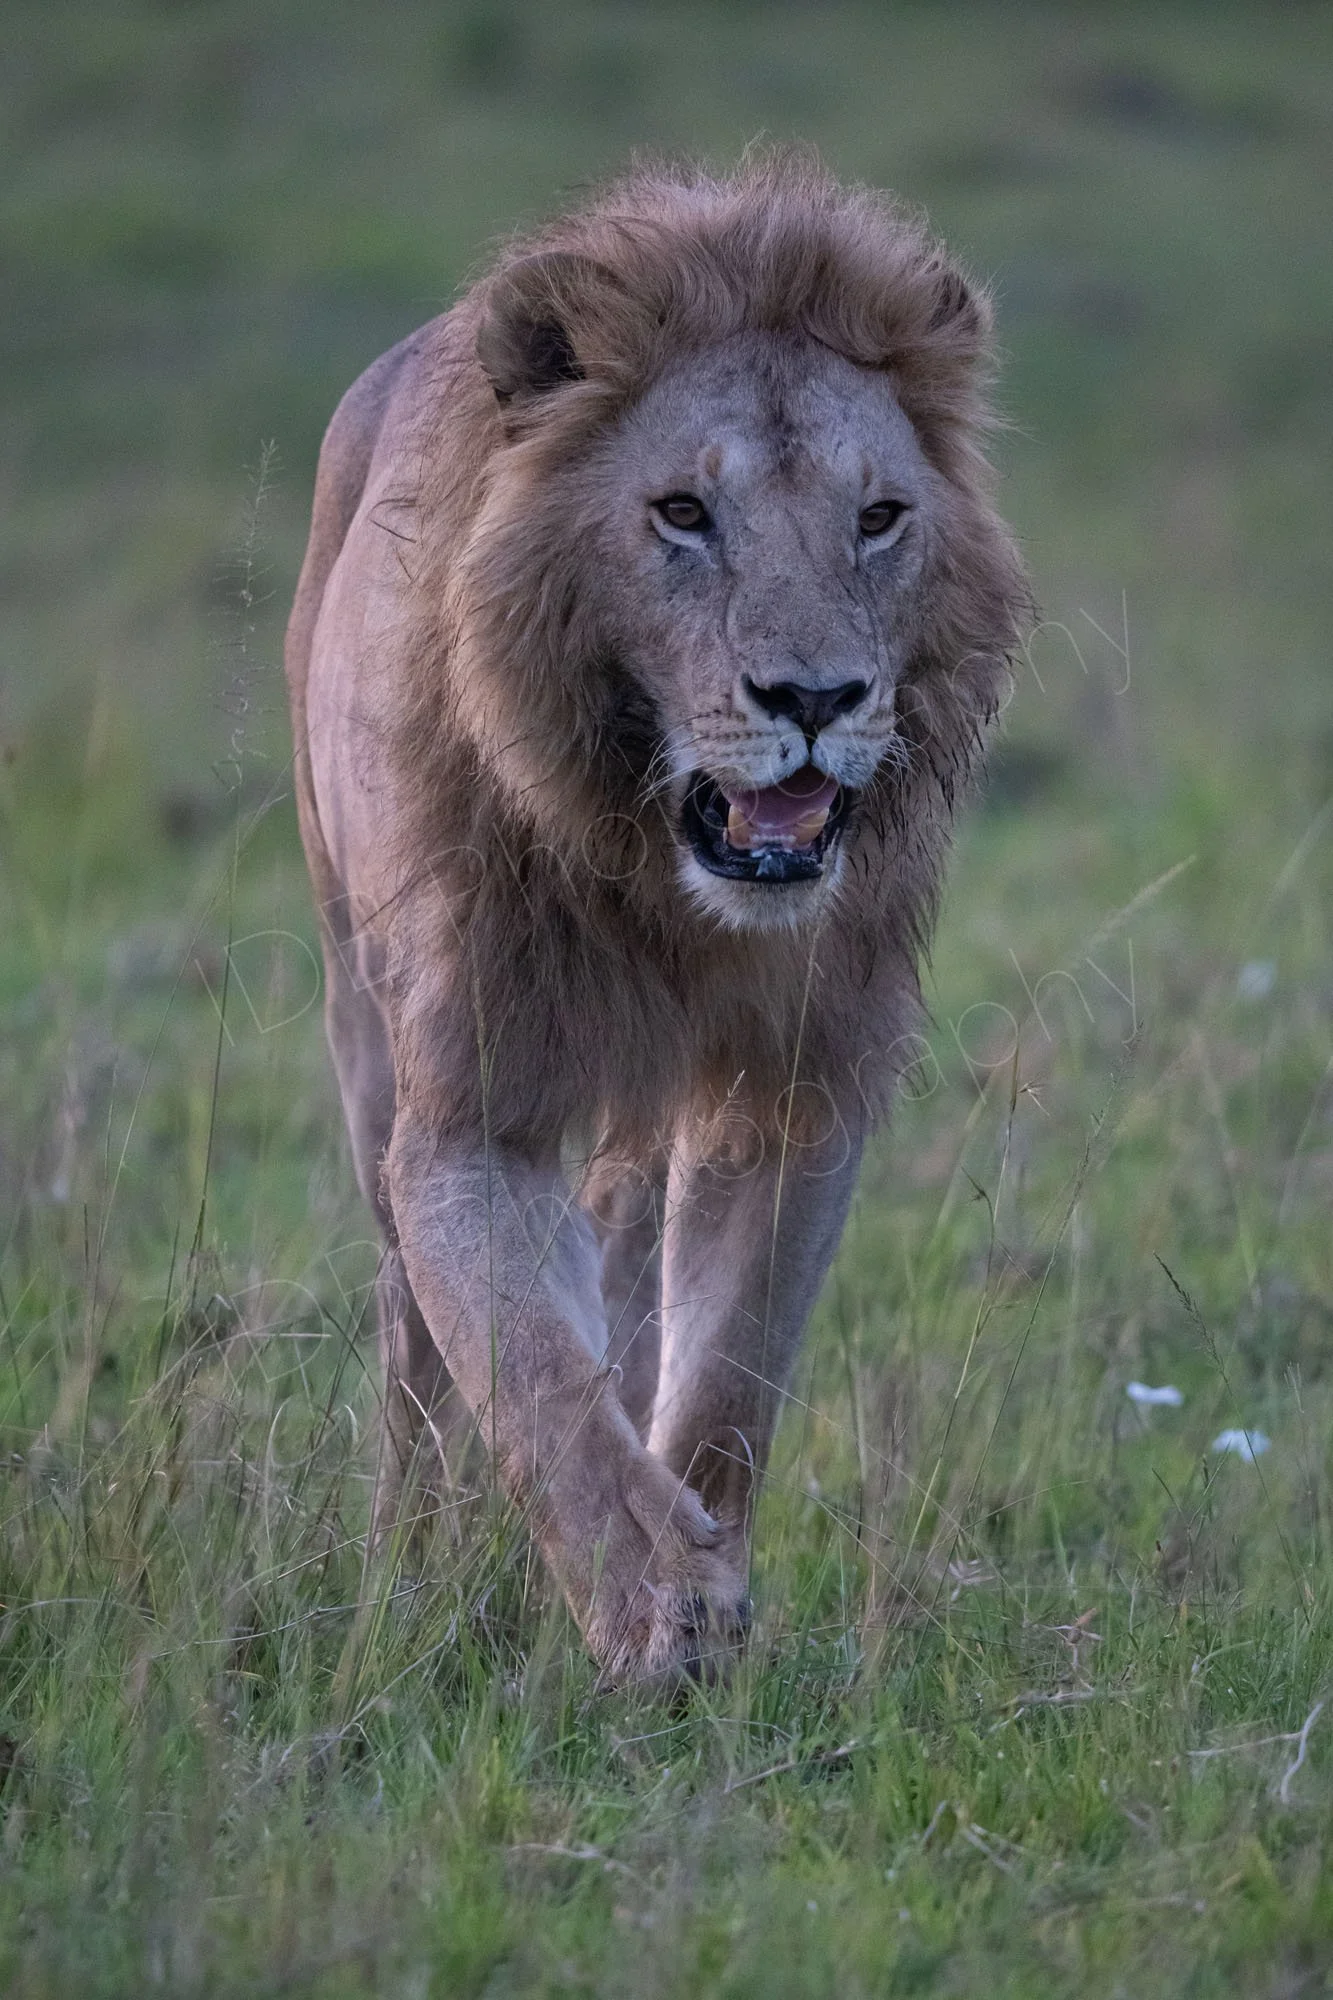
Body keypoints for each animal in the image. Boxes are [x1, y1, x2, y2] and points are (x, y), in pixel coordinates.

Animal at [285, 154, 1030, 1682]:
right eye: (683, 513)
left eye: (879, 517)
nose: (813, 698)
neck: (665, 895)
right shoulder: (468, 1114)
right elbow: (533, 1378)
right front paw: (655, 1616)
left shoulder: (800, 1085)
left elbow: (728, 1376)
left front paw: (707, 1588)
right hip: (357, 1026)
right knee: (413, 1342)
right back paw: (408, 1565)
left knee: (623, 1253)